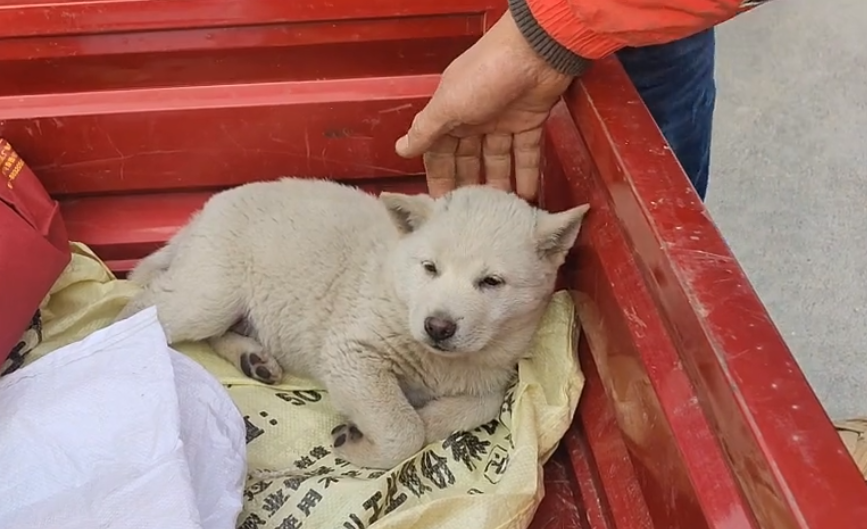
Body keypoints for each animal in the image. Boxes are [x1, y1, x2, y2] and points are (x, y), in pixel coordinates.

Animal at [117, 179, 588, 468]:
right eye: (430, 268)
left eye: (491, 282)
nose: (437, 327)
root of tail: (202, 213)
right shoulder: (352, 352)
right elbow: (402, 430)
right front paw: (357, 443)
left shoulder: (490, 377)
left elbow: (472, 408)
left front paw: (419, 421)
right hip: (211, 291)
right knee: (141, 308)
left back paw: (255, 359)